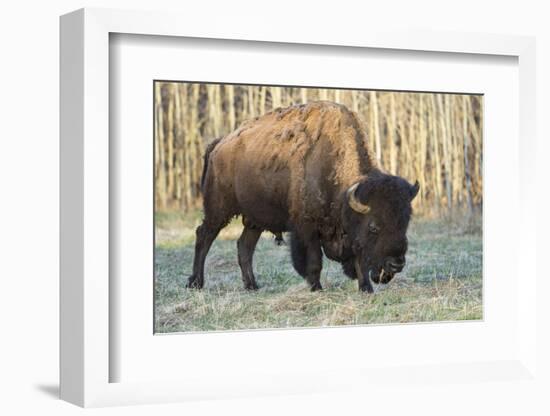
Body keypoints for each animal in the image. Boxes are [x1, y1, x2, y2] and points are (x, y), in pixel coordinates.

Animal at [188, 101, 420, 292]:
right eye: (373, 227)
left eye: (405, 223)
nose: (396, 264)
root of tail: (219, 144)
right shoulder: (307, 228)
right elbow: (314, 261)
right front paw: (316, 288)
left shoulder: (350, 236)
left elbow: (359, 260)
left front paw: (366, 289)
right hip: (218, 209)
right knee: (204, 236)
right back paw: (196, 283)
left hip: (255, 219)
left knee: (244, 245)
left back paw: (252, 285)